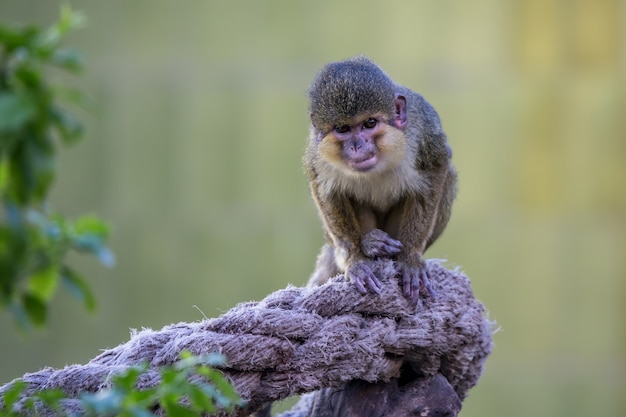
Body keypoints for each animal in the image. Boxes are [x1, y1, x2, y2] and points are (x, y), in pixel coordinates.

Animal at [302, 56, 454, 302]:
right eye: (343, 128)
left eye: (370, 123)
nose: (357, 145)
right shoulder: (317, 155)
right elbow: (325, 189)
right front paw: (356, 259)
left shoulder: (424, 135)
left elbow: (437, 169)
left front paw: (410, 257)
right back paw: (369, 243)